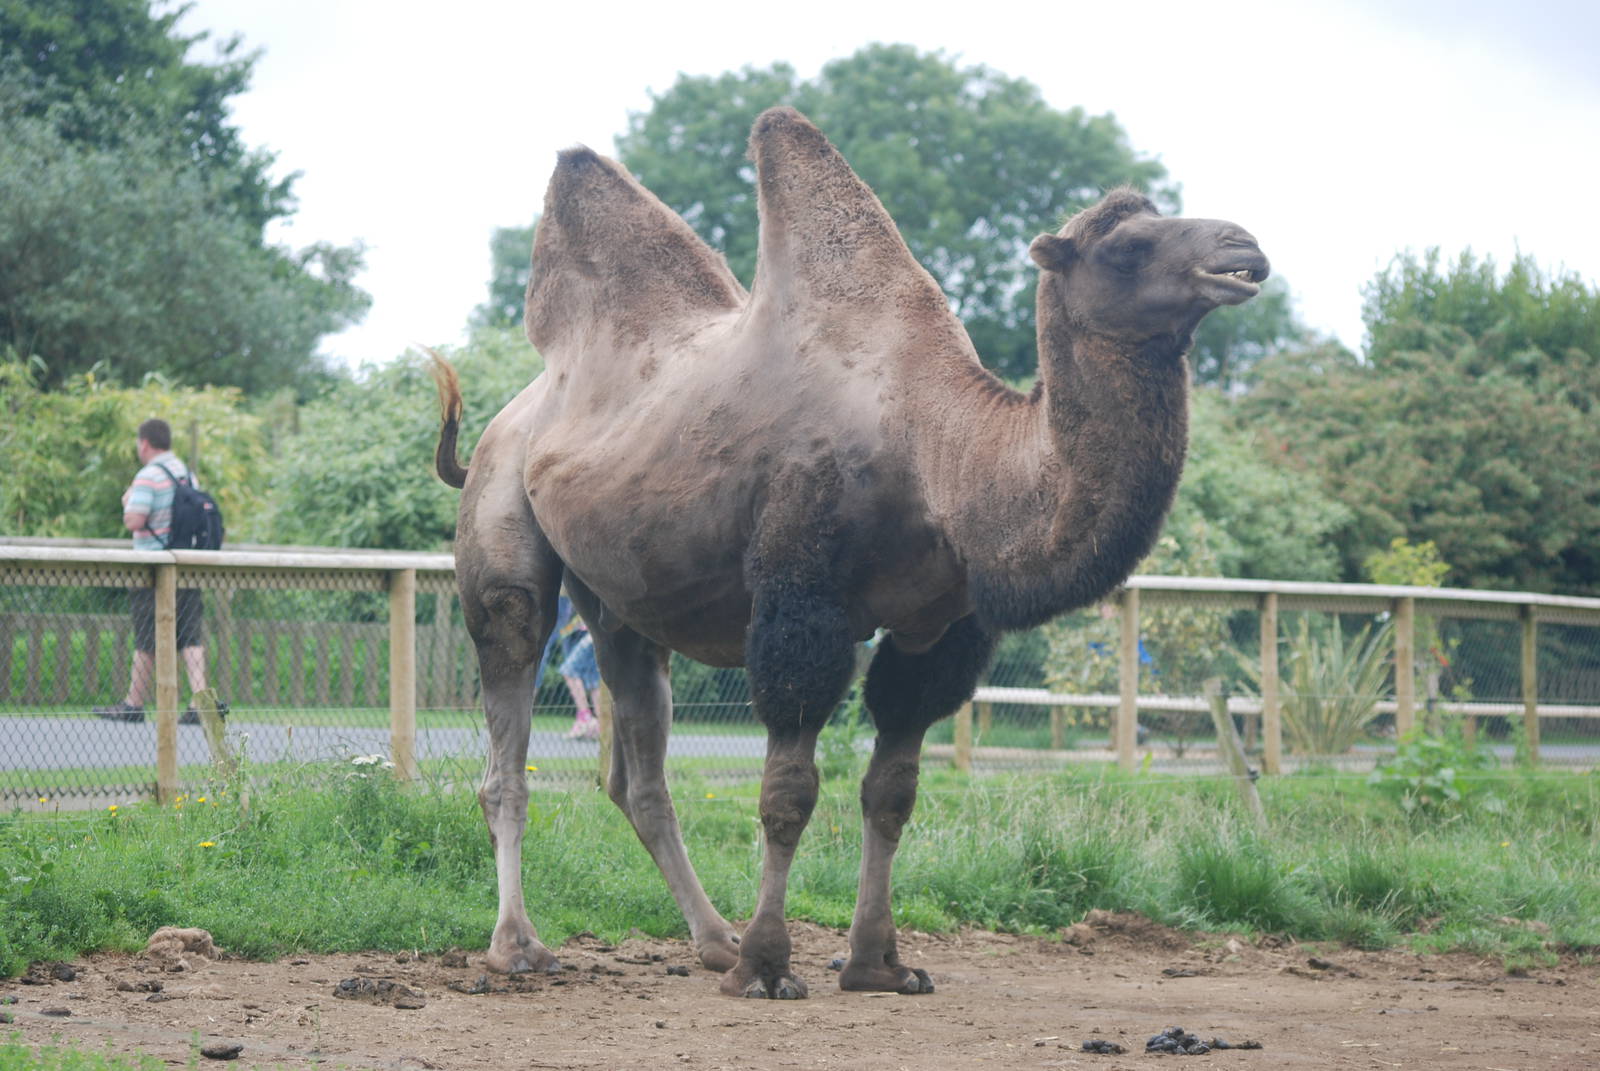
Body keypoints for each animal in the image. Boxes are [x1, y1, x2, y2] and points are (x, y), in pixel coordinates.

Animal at [430, 106, 1268, 998]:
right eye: (1128, 245)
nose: (1244, 248)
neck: (942, 455)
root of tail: (502, 425)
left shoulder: (937, 627)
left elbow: (892, 790)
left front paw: (877, 962)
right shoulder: (804, 598)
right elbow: (789, 792)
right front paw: (768, 966)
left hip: (621, 598)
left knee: (639, 774)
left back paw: (712, 939)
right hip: (505, 531)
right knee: (509, 723)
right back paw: (519, 945)